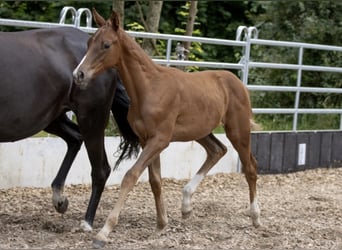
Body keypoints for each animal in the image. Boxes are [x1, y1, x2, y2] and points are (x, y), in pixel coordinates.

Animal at [0, 26, 139, 230]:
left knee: (100, 168)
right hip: (53, 118)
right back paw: (60, 199)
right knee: (75, 138)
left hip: (91, 119)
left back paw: (87, 222)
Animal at [72, 10, 260, 248]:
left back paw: (255, 217)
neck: (149, 88)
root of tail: (238, 82)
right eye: (89, 43)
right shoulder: (147, 140)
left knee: (250, 167)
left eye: (106, 45)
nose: (78, 75)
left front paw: (103, 233)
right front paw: (162, 224)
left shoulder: (160, 140)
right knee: (217, 150)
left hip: (238, 130)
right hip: (201, 131)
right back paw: (186, 205)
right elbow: (155, 181)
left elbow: (131, 176)